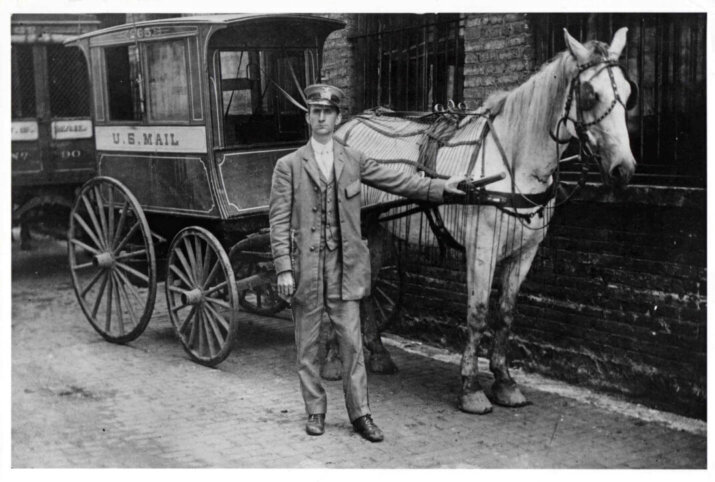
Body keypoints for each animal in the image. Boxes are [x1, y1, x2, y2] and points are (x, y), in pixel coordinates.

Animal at [324, 27, 636, 414]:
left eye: (628, 92)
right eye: (591, 94)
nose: (624, 169)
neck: (515, 162)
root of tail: (346, 126)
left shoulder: (525, 253)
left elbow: (505, 313)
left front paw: (504, 382)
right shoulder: (481, 248)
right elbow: (477, 312)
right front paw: (471, 387)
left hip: (378, 229)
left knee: (365, 286)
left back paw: (378, 355)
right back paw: (334, 361)